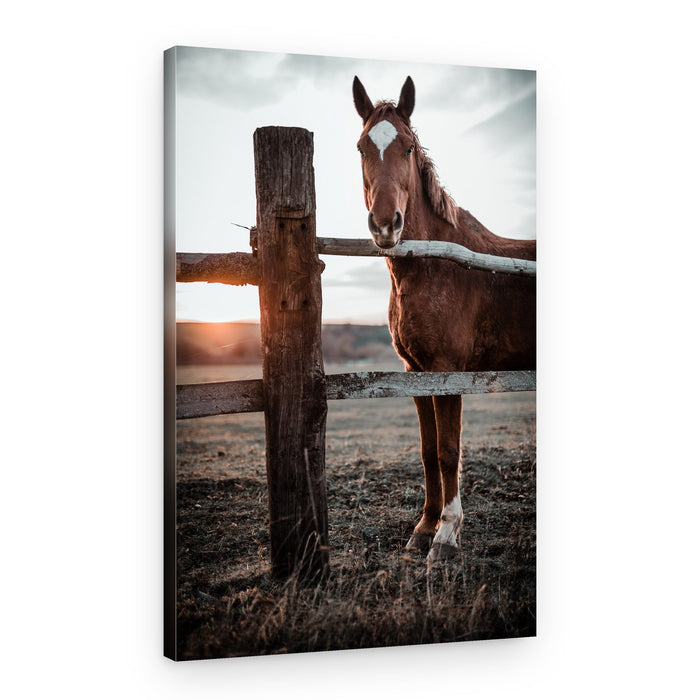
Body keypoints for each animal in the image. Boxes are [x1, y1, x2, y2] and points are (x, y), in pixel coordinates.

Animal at [352, 76, 536, 563]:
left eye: (409, 147)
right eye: (361, 147)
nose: (386, 225)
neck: (435, 263)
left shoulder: (447, 371)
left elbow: (450, 449)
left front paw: (446, 536)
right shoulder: (415, 372)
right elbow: (428, 450)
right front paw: (423, 528)